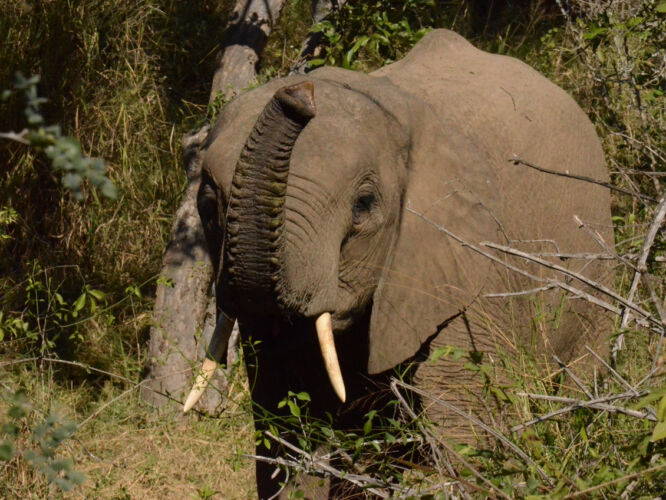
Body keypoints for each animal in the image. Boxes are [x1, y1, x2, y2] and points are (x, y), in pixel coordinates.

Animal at [183, 29, 613, 498]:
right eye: (208, 207)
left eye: (364, 205)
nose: (300, 96)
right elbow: (287, 426)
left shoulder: (466, 270)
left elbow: (469, 429)